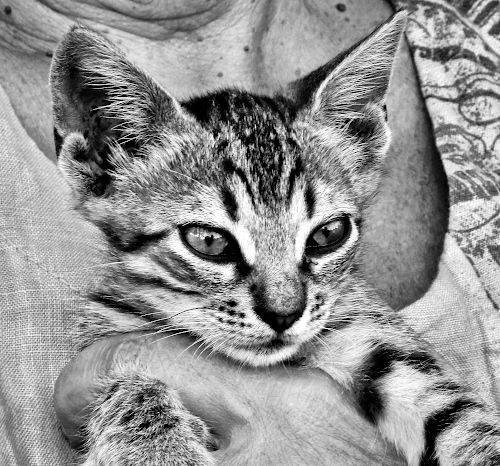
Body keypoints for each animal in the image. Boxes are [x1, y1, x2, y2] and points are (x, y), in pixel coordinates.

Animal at [51, 11, 500, 466]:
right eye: (209, 241)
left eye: (328, 234)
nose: (284, 314)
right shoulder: (109, 334)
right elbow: (130, 384)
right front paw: (157, 450)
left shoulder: (371, 338)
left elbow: (457, 418)